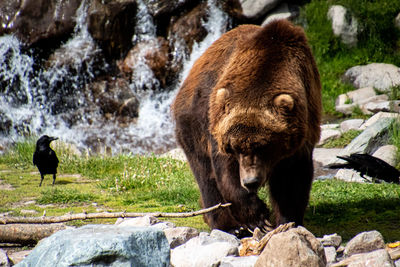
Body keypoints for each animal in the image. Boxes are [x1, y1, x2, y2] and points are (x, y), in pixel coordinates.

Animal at [172, 19, 322, 234]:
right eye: (235, 147)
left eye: (264, 146)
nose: (251, 182)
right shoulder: (218, 128)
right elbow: (225, 173)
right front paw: (258, 216)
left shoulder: (303, 129)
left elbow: (291, 180)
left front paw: (287, 222)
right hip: (192, 123)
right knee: (205, 175)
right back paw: (227, 226)